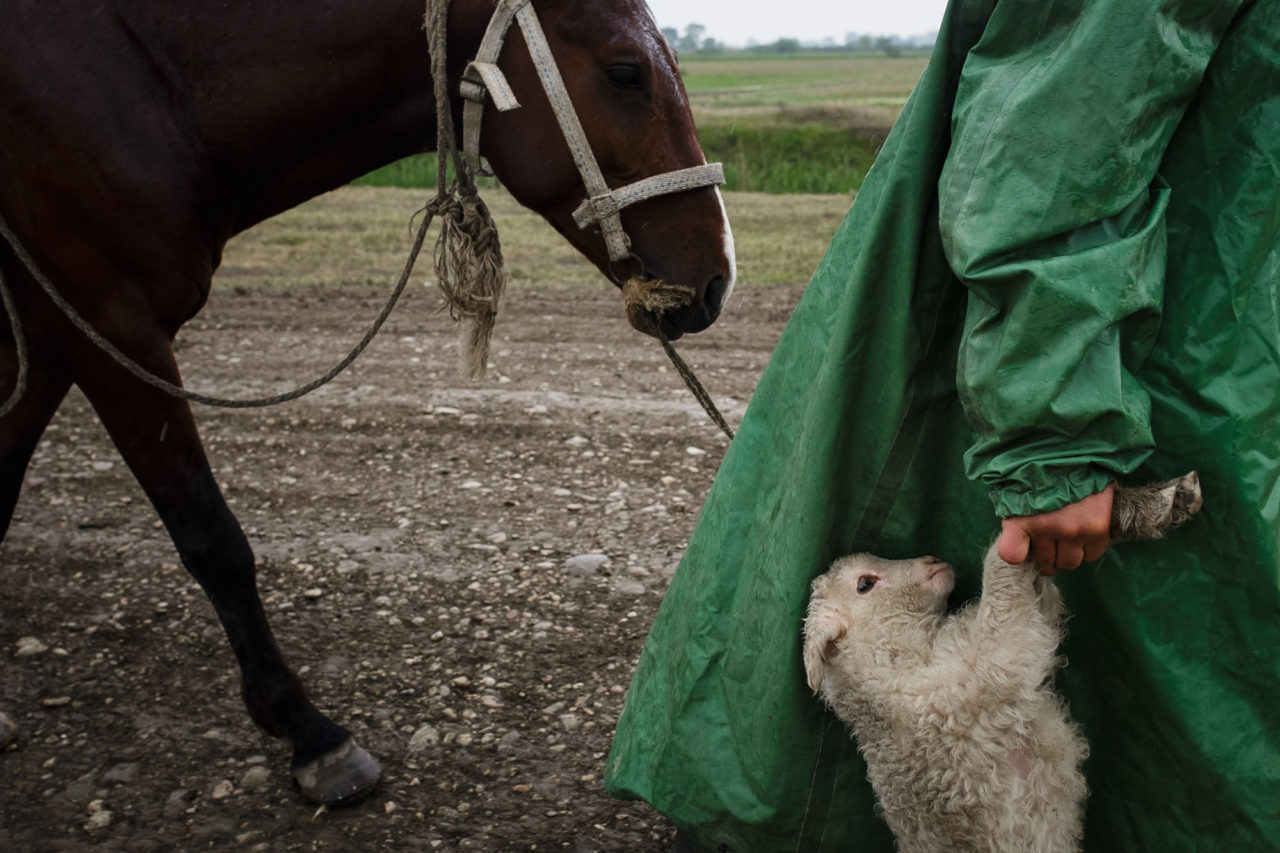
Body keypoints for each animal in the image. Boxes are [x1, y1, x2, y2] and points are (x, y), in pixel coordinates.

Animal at [0, 0, 737, 799]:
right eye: (626, 73)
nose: (719, 276)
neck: (144, 82)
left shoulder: (46, 336)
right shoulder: (107, 323)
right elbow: (211, 538)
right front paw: (309, 731)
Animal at [803, 471, 1203, 850]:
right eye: (865, 584)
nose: (933, 560)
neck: (894, 666)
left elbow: (1040, 583)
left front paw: (1150, 504)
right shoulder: (988, 667)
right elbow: (1001, 563)